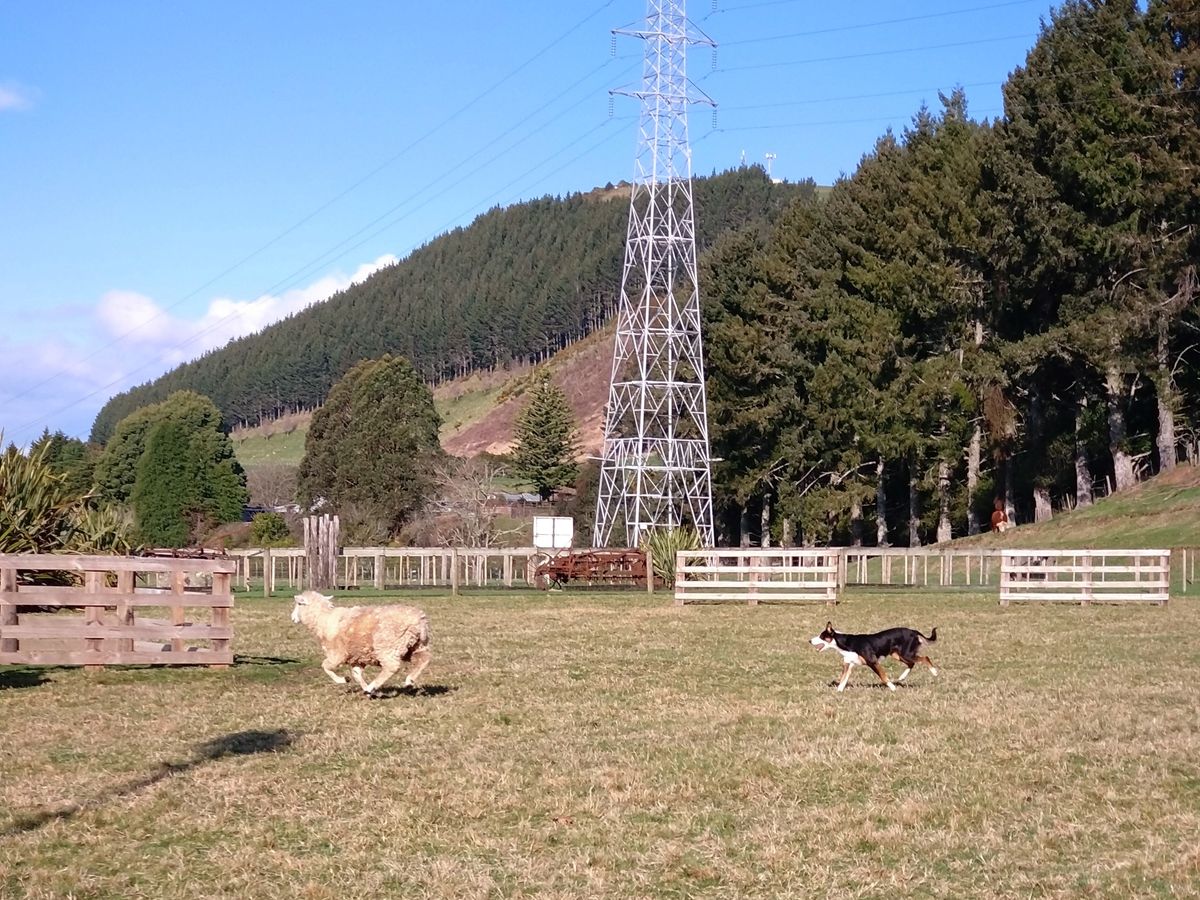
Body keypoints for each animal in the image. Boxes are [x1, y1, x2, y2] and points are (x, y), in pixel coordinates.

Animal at [290, 590, 431, 696]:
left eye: (299, 604)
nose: (292, 618)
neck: (322, 619)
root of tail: (419, 621)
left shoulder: (337, 654)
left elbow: (325, 666)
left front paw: (343, 680)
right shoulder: (356, 657)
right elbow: (356, 674)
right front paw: (369, 691)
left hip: (388, 646)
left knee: (391, 667)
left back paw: (373, 686)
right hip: (415, 645)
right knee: (424, 659)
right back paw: (408, 681)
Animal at [809, 621, 938, 692]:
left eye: (821, 636)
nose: (809, 641)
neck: (847, 644)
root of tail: (913, 631)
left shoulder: (873, 662)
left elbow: (883, 677)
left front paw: (893, 688)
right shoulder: (849, 665)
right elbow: (843, 680)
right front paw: (838, 692)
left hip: (906, 653)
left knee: (925, 658)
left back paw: (935, 672)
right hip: (897, 655)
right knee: (912, 663)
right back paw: (902, 677)